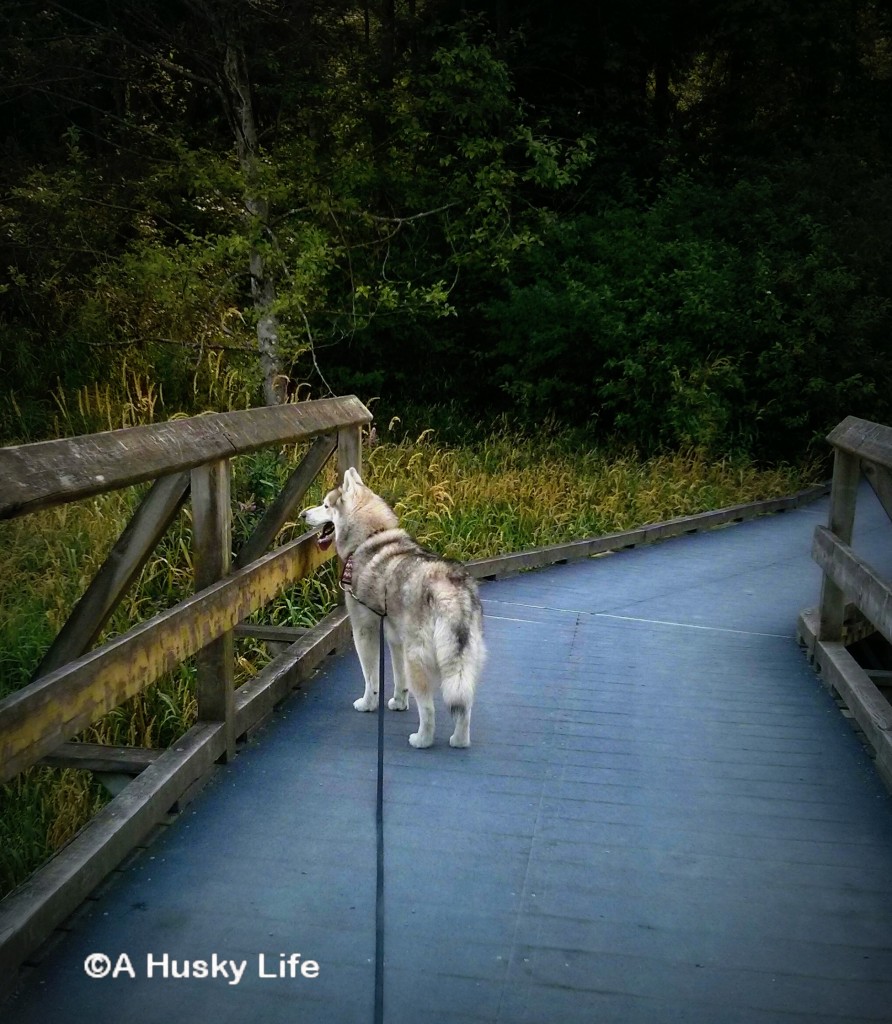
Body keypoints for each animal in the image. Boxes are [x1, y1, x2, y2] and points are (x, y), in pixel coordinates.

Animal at [301, 468, 485, 749]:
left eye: (325, 505)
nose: (302, 515)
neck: (370, 537)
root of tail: (449, 589)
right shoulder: (394, 637)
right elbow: (398, 679)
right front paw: (399, 702)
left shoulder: (364, 630)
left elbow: (371, 677)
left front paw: (368, 704)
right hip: (463, 662)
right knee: (464, 706)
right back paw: (459, 740)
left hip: (417, 659)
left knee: (429, 709)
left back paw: (422, 739)